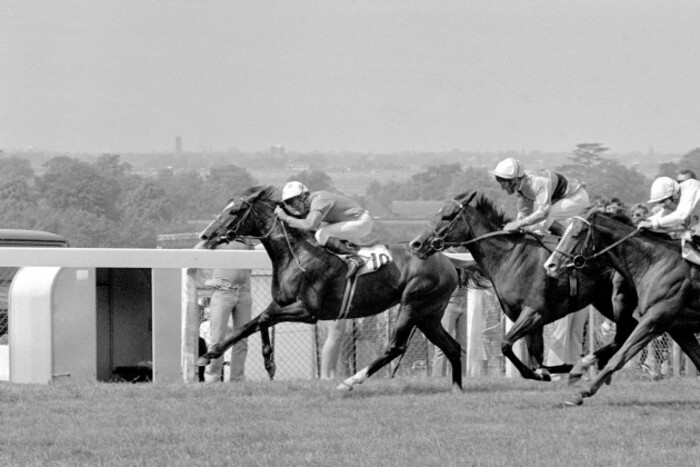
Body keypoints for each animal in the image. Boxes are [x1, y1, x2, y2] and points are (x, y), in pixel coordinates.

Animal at [196, 185, 464, 394]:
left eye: (234, 211)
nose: (206, 235)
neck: (298, 254)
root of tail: (448, 262)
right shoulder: (282, 303)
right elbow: (253, 323)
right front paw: (218, 354)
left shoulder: (308, 311)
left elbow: (262, 319)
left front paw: (261, 361)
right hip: (429, 314)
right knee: (452, 347)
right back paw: (457, 388)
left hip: (412, 304)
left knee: (396, 347)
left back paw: (350, 382)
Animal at [410, 192, 644, 382]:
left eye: (447, 216)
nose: (416, 244)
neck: (509, 258)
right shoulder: (528, 319)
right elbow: (535, 354)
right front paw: (543, 371)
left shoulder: (533, 313)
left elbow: (506, 344)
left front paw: (537, 373)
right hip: (604, 302)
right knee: (628, 330)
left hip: (618, 299)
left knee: (625, 333)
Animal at [544, 210, 700, 404]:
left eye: (576, 234)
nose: (550, 265)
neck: (656, 262)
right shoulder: (679, 329)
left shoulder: (653, 321)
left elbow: (619, 356)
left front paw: (581, 392)